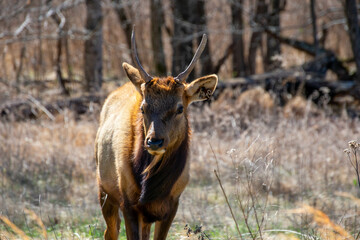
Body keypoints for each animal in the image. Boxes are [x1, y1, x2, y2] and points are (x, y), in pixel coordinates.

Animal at [95, 29, 217, 240]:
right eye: (143, 107)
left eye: (180, 108)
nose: (154, 141)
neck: (151, 187)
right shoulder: (128, 202)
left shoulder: (173, 202)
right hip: (104, 189)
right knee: (110, 232)